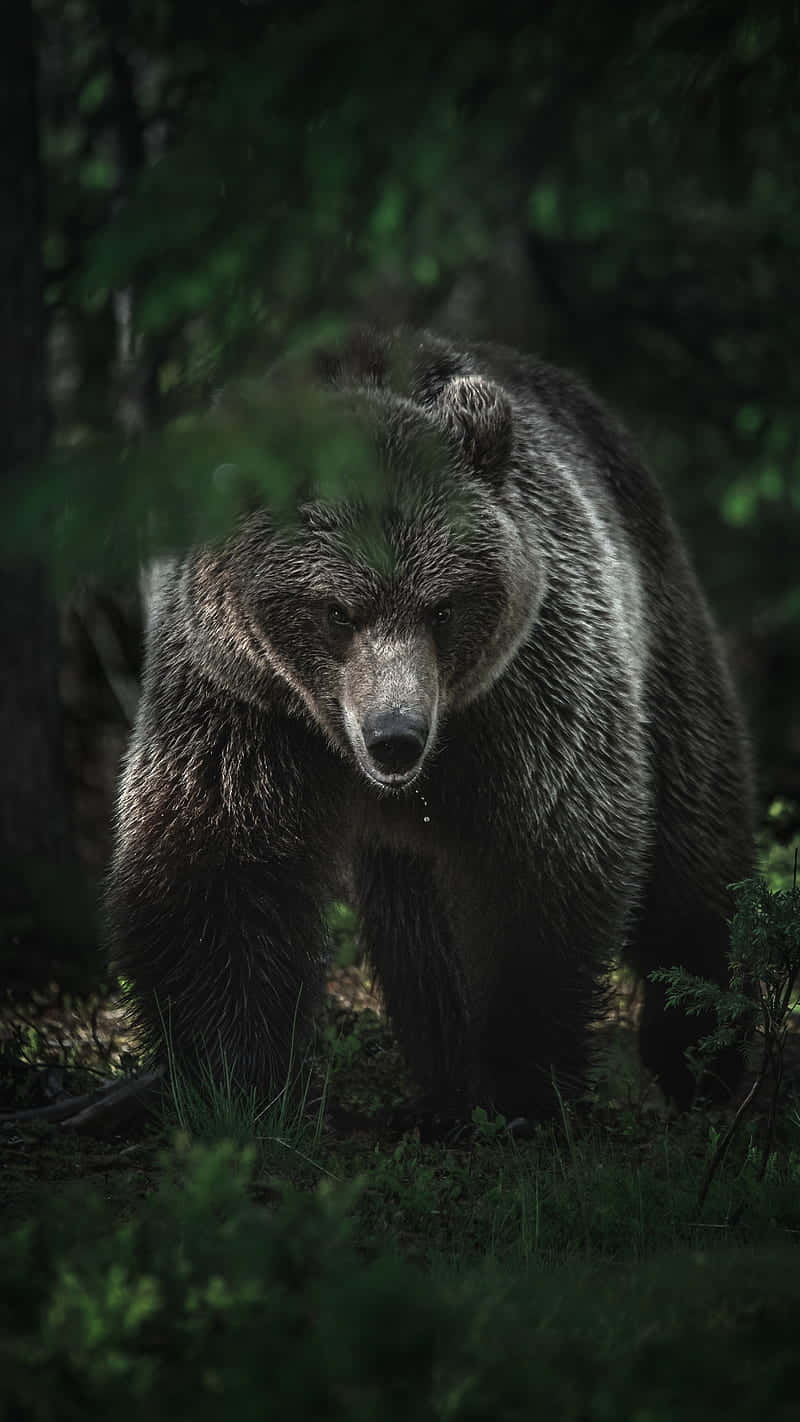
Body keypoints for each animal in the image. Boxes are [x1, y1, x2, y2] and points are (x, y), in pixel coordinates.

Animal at [107, 327, 755, 1120]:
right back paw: (443, 1080)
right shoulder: (238, 704)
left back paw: (702, 1052)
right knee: (418, 929)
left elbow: (545, 857)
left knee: (693, 844)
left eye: (443, 606)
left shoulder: (525, 691)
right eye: (336, 611)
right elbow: (215, 869)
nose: (396, 736)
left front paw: (525, 1079)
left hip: (660, 621)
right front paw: (229, 1081)